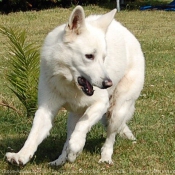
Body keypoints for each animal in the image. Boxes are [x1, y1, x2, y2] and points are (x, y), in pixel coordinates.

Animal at [6, 4, 144, 165]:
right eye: (89, 56)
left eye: (104, 58)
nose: (108, 83)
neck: (69, 84)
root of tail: (127, 32)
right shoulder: (46, 110)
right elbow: (33, 136)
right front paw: (21, 155)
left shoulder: (101, 104)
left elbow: (83, 126)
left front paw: (77, 145)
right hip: (74, 116)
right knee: (69, 137)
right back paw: (60, 160)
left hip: (117, 110)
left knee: (110, 136)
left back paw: (105, 157)